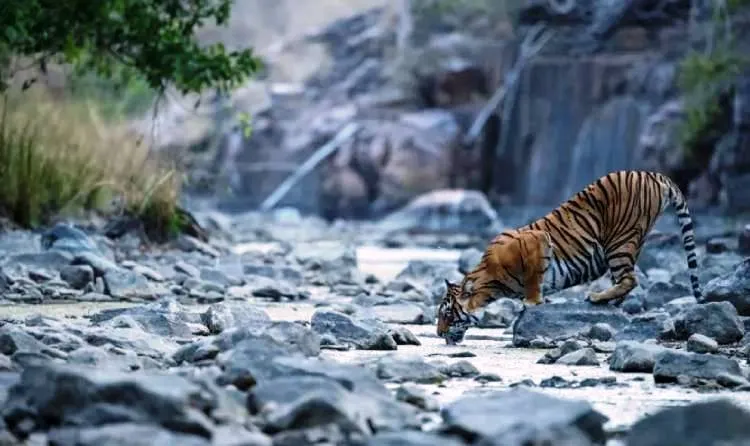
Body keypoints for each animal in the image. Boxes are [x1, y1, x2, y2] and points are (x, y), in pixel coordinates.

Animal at [436, 170, 701, 345]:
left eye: (447, 314)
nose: (439, 333)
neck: (491, 284)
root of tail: (652, 174)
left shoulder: (537, 241)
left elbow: (533, 279)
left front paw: (532, 302)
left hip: (620, 239)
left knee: (629, 279)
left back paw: (597, 297)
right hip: (631, 240)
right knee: (627, 280)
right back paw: (612, 301)